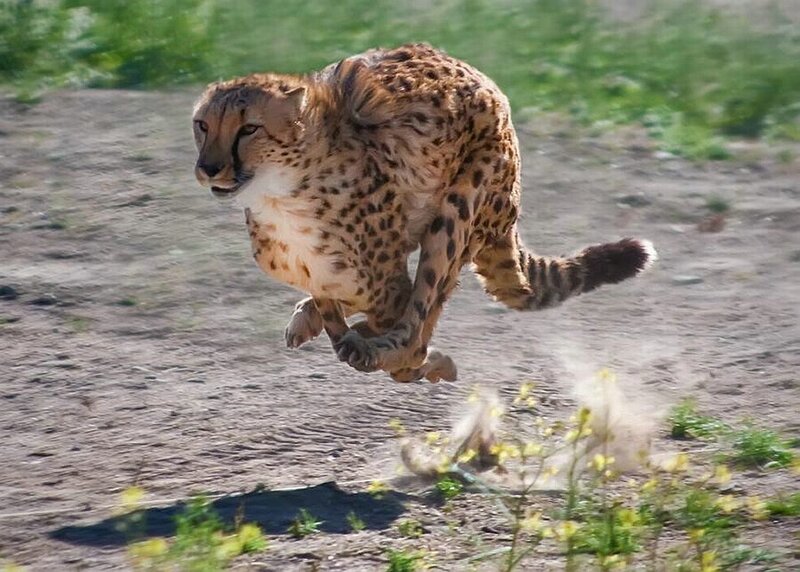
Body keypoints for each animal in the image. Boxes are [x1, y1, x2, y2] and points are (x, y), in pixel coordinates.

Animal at [192, 43, 656, 383]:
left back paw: (401, 355)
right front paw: (319, 318)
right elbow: (343, 303)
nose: (209, 168)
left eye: (249, 128)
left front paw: (384, 349)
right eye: (202, 125)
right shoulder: (336, 277)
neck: (280, 193)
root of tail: (485, 80)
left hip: (461, 208)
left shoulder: (385, 283)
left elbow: (398, 322)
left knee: (412, 333)